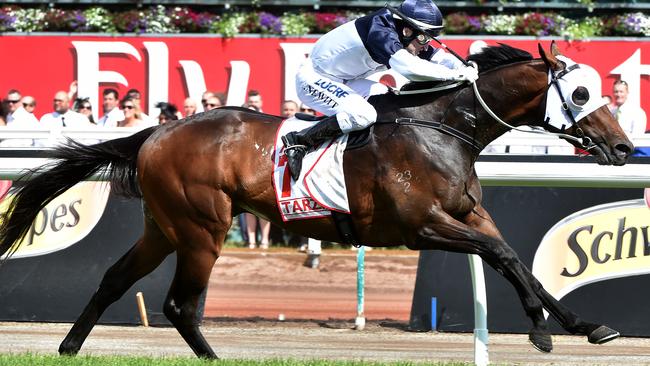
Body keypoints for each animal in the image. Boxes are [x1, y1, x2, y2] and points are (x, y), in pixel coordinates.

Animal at [0, 43, 632, 358]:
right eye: (580, 93)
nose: (624, 147)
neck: (442, 129)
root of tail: (157, 132)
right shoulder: (420, 226)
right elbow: (500, 256)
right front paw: (544, 331)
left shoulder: (469, 213)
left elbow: (518, 260)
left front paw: (578, 325)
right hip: (202, 228)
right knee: (180, 305)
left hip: (163, 227)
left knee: (112, 280)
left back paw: (68, 348)